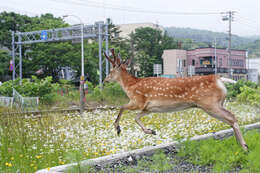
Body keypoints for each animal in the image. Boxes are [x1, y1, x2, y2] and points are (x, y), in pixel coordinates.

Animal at [103, 48, 248, 151]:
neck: (130, 86)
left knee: (232, 117)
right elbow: (136, 118)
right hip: (215, 104)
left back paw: (244, 146)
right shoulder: (149, 108)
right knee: (230, 119)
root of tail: (219, 79)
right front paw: (151, 131)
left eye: (111, 71)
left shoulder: (138, 100)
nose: (105, 80)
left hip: (210, 103)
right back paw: (240, 145)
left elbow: (122, 107)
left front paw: (117, 128)